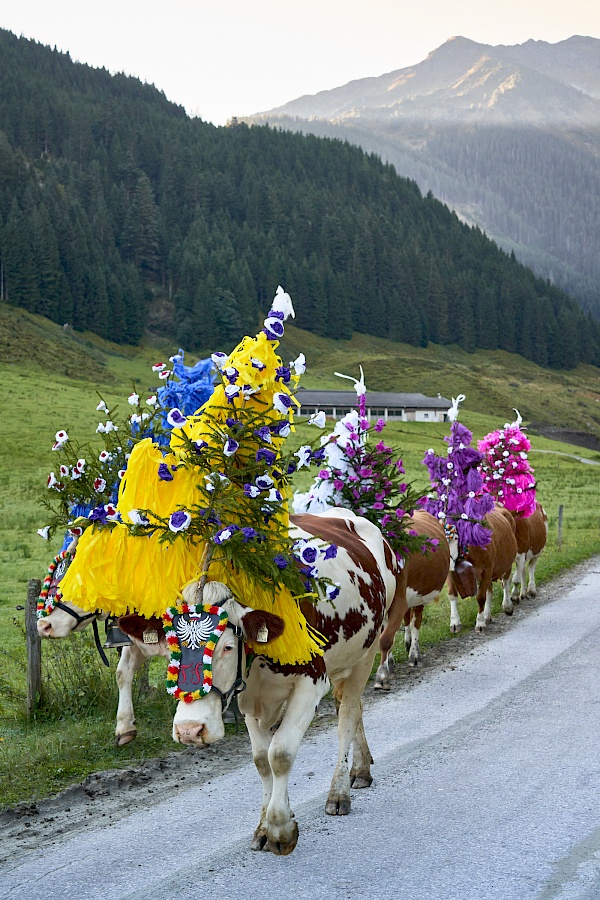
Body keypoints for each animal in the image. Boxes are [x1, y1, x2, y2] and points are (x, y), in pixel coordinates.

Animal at [155, 510, 406, 856]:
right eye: (170, 648)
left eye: (228, 647)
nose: (190, 730)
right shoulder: (248, 696)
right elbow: (262, 760)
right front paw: (264, 826)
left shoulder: (311, 684)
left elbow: (281, 754)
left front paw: (280, 830)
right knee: (351, 708)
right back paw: (361, 769)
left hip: (365, 653)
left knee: (348, 716)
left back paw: (339, 793)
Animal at [376, 506, 450, 688]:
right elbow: (387, 634)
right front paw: (389, 664)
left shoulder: (399, 601)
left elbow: (385, 639)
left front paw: (381, 675)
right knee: (408, 619)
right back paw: (407, 644)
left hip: (420, 595)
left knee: (416, 620)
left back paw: (414, 654)